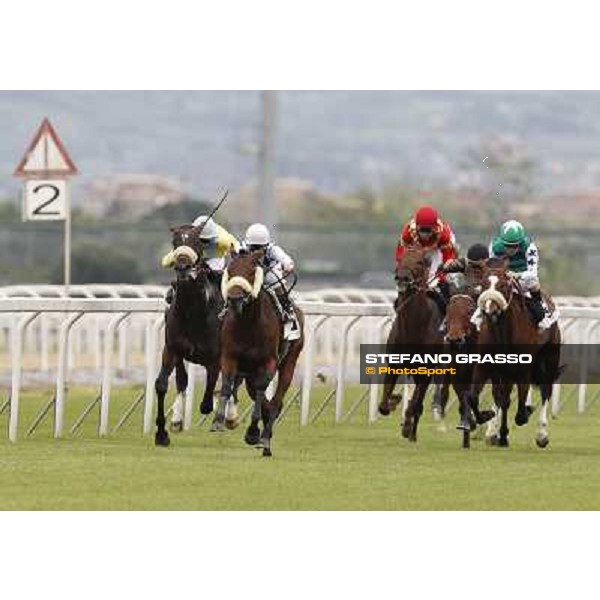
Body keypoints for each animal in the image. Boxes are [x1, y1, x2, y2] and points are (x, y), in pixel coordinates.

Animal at [155, 227, 225, 448]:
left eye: (196, 241)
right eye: (175, 242)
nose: (183, 266)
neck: (193, 313)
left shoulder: (216, 358)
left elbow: (208, 400)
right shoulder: (172, 350)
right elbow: (162, 384)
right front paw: (161, 433)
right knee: (182, 380)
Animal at [212, 251, 304, 458]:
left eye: (252, 272)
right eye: (230, 270)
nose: (235, 298)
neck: (248, 324)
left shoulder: (269, 361)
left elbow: (262, 390)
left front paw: (254, 432)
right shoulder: (229, 357)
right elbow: (228, 384)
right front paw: (218, 421)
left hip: (290, 361)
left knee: (276, 400)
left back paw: (265, 440)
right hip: (250, 372)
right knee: (261, 397)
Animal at [378, 247, 448, 440]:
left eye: (420, 261)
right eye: (401, 258)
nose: (402, 278)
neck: (414, 326)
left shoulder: (427, 371)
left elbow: (414, 404)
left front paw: (407, 425)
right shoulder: (393, 365)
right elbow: (383, 405)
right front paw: (394, 401)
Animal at [468, 260, 564, 448]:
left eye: (502, 285)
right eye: (483, 284)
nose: (490, 310)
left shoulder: (522, 366)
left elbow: (520, 403)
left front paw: (524, 414)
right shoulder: (485, 364)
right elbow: (474, 397)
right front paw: (490, 422)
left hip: (550, 357)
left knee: (545, 391)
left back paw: (542, 434)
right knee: (502, 396)